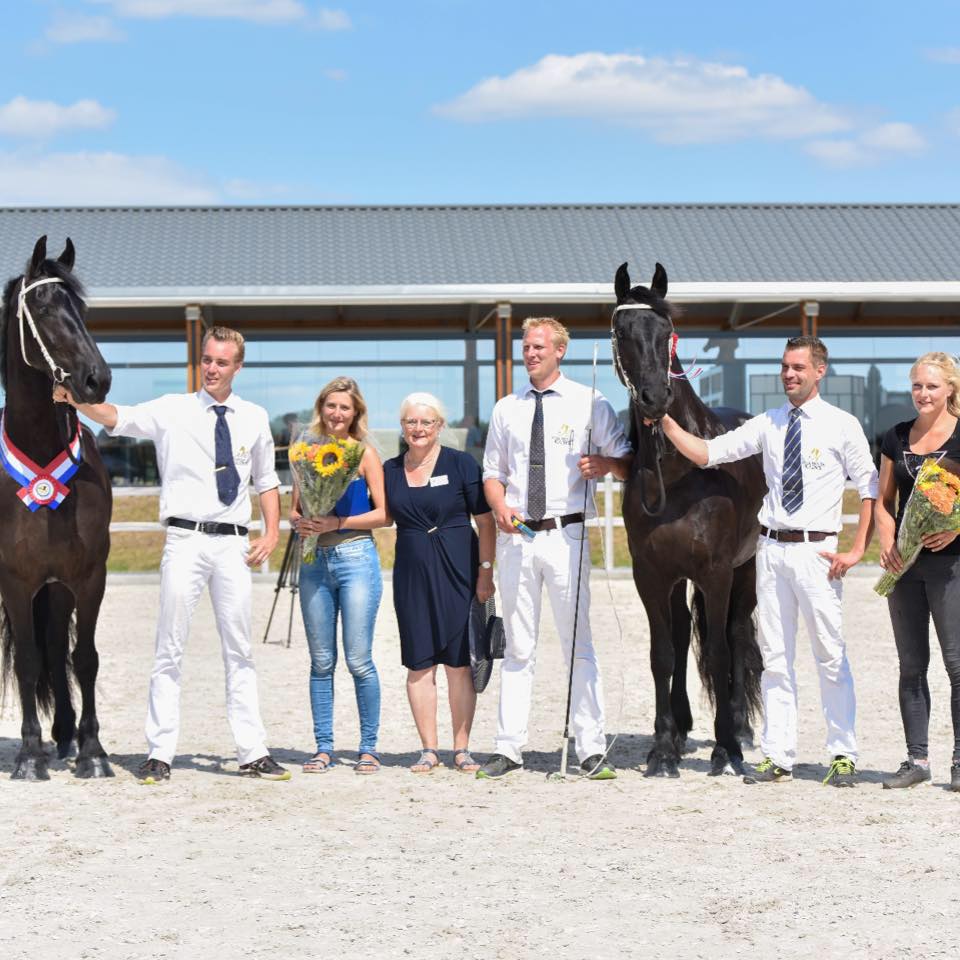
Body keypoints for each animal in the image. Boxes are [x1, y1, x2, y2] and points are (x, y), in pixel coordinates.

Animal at [616, 262, 764, 780]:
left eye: (667, 333)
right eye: (622, 331)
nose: (654, 397)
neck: (681, 472)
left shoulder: (716, 572)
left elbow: (720, 651)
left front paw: (725, 748)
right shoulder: (651, 574)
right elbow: (663, 654)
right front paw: (663, 749)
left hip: (744, 570)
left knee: (736, 637)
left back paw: (738, 728)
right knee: (682, 637)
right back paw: (680, 730)